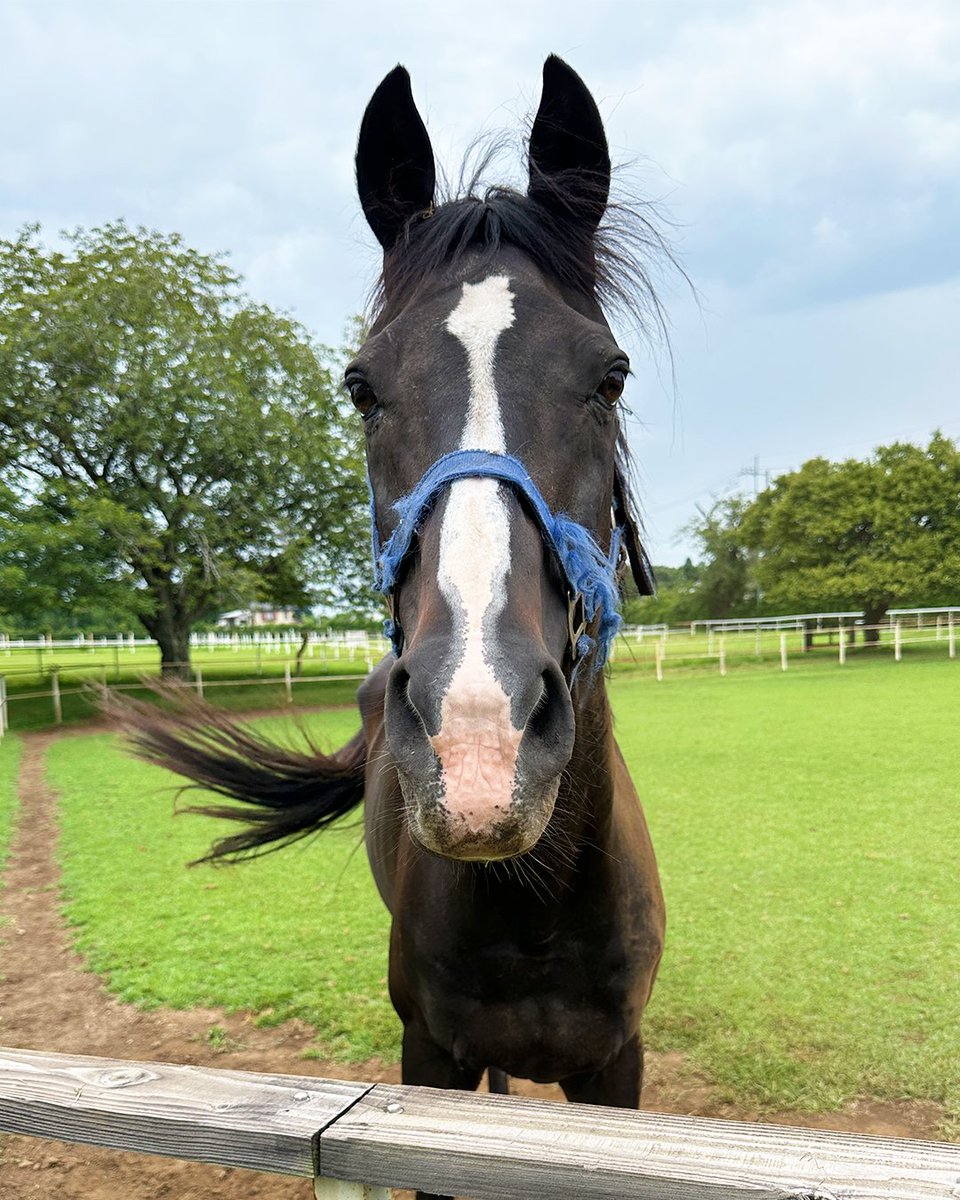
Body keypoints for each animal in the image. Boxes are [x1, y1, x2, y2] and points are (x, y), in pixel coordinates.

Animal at [125, 55, 666, 1199]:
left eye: (610, 376)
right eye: (360, 385)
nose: (478, 737)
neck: (539, 909)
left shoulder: (619, 1072)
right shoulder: (430, 1064)